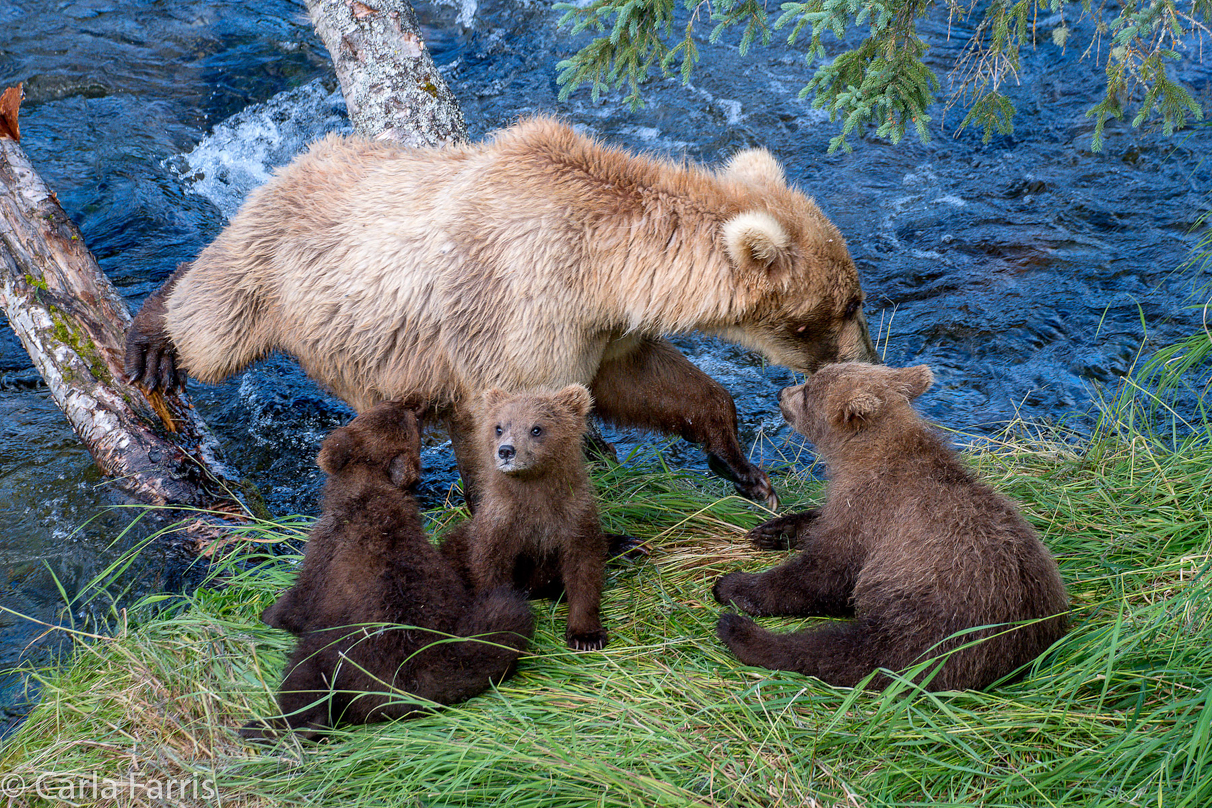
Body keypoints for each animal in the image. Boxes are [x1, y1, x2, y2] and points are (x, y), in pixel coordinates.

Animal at [127, 115, 877, 506]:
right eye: (848, 303)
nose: (868, 360)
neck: (603, 268)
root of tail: (293, 160)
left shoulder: (598, 330)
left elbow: (661, 386)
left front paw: (747, 472)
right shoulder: (517, 307)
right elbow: (503, 420)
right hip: (279, 273)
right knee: (213, 326)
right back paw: (154, 337)